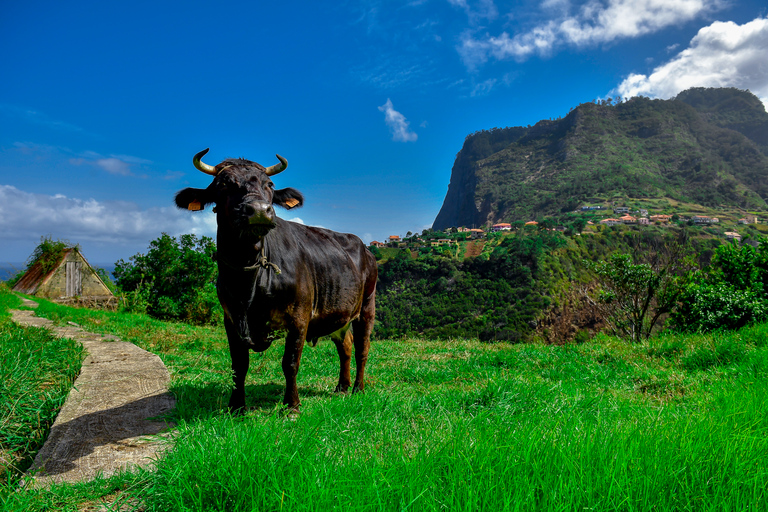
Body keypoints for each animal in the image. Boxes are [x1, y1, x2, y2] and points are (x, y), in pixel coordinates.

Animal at [175, 149, 378, 412]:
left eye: (269, 185)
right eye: (223, 184)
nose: (260, 210)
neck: (248, 280)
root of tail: (364, 247)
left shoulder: (300, 317)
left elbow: (290, 363)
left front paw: (291, 405)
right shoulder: (230, 318)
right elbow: (238, 365)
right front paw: (236, 406)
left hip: (367, 306)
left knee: (362, 348)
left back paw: (358, 388)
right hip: (338, 313)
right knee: (345, 346)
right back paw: (342, 387)